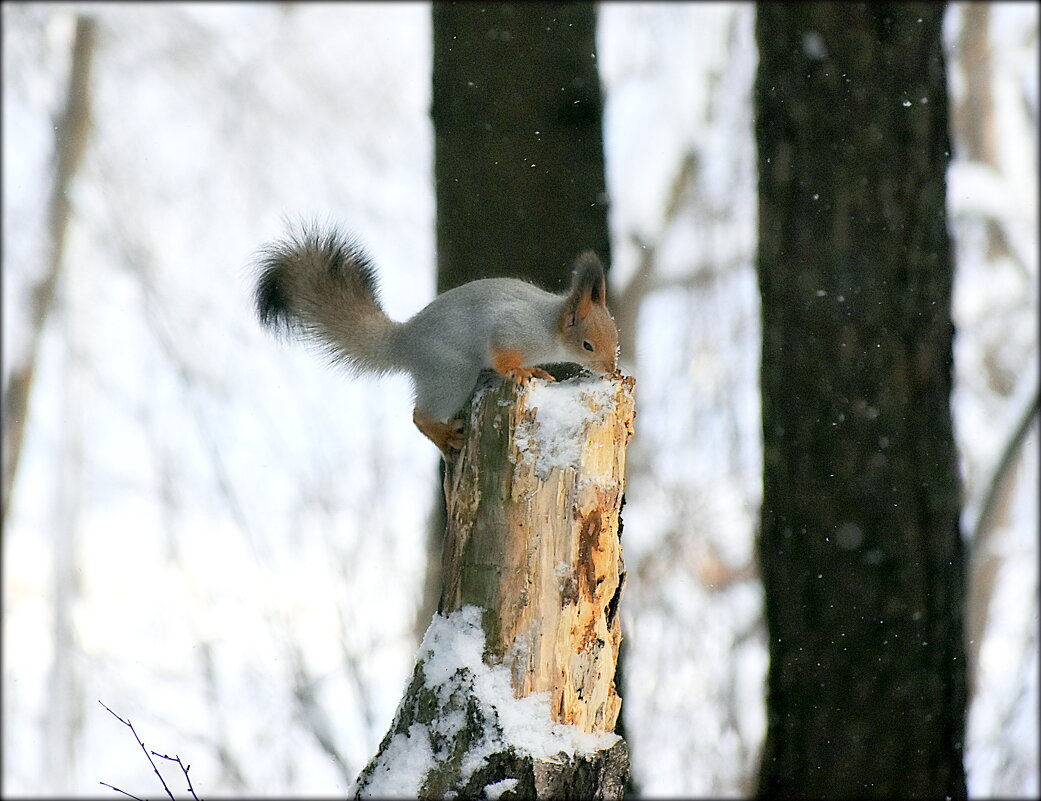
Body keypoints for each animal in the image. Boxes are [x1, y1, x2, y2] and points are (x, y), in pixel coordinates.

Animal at [254, 222, 616, 456]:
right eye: (587, 345)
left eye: (615, 338)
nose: (611, 370)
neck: (548, 326)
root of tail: (405, 341)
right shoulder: (512, 328)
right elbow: (502, 355)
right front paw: (521, 371)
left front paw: (536, 370)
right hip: (451, 374)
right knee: (419, 416)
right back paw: (443, 436)